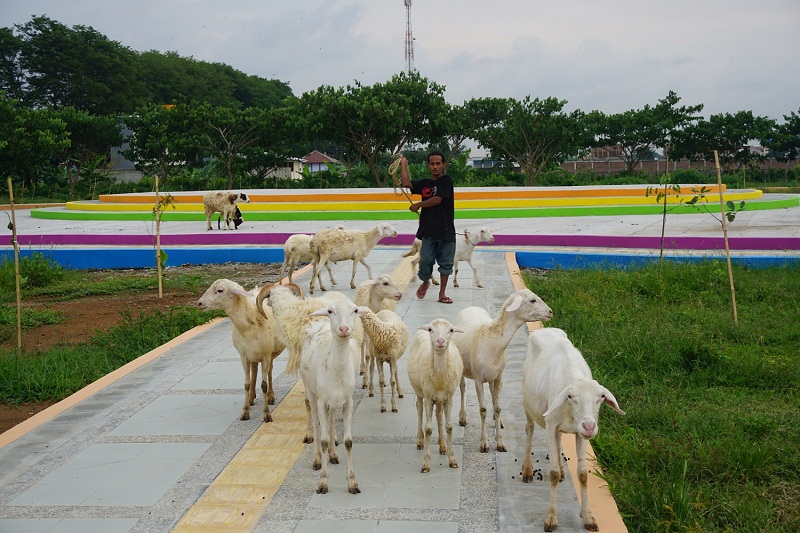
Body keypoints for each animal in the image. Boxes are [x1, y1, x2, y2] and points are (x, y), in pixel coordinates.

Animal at [196, 278, 284, 424]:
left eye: (220, 290)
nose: (199, 303)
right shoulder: (244, 356)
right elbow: (246, 384)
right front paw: (245, 411)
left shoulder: (265, 354)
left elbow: (264, 385)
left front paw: (266, 414)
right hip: (254, 355)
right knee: (256, 370)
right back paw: (252, 397)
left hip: (268, 353)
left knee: (269, 371)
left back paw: (270, 396)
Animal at [410, 318, 466, 472]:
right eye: (431, 329)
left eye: (451, 330)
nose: (440, 341)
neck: (440, 378)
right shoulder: (429, 397)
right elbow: (429, 429)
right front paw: (426, 463)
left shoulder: (449, 398)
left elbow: (449, 426)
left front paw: (452, 459)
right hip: (419, 391)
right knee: (419, 410)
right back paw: (420, 440)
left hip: (440, 399)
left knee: (439, 415)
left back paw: (442, 445)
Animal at [454, 288, 552, 450]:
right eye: (532, 300)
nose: (550, 312)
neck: (492, 339)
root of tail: (471, 307)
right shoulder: (478, 378)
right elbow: (483, 409)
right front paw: (484, 443)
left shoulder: (499, 376)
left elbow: (498, 407)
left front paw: (499, 441)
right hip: (463, 366)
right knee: (462, 387)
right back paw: (462, 417)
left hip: (492, 376)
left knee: (493, 397)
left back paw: (497, 421)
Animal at [520, 326, 628, 528]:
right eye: (570, 397)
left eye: (601, 397)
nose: (589, 426)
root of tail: (546, 329)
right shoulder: (550, 425)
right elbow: (553, 473)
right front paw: (551, 518)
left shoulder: (579, 434)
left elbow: (583, 474)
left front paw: (588, 516)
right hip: (527, 405)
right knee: (529, 430)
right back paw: (528, 469)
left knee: (559, 441)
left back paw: (563, 469)